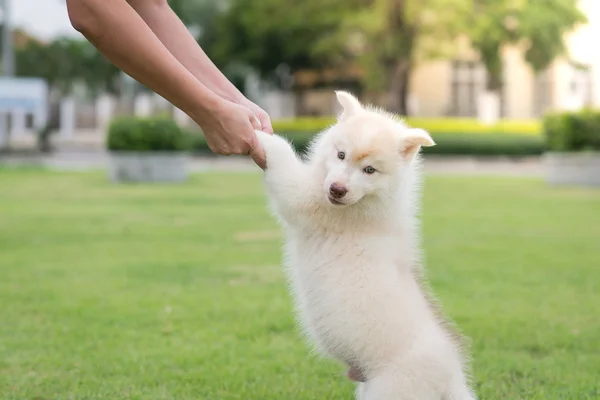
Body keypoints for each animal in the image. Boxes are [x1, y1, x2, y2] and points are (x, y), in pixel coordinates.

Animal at [255, 91, 476, 400]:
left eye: (369, 170)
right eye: (341, 155)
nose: (337, 190)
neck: (369, 204)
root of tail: (451, 380)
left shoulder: (302, 200)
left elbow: (282, 158)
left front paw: (260, 135)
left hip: (388, 390)